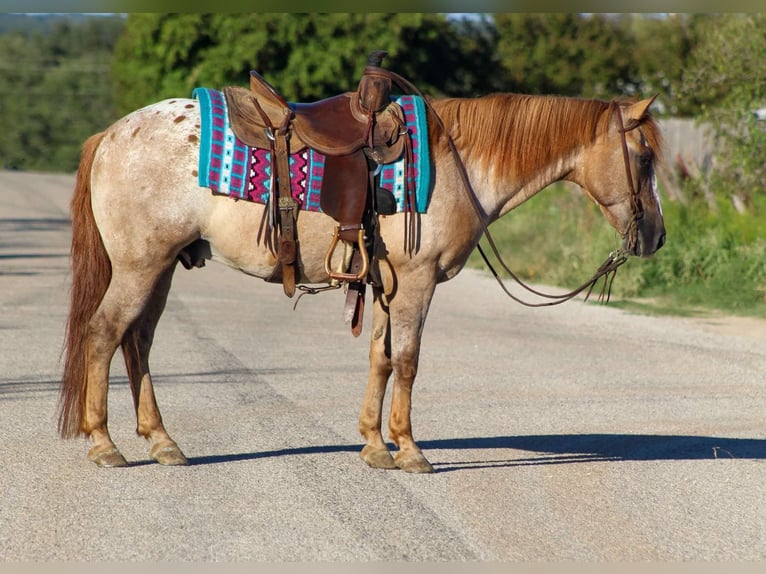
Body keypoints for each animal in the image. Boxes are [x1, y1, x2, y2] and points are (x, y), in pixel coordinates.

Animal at [58, 90, 665, 473]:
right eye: (644, 158)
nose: (656, 236)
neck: (455, 162)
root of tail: (112, 134)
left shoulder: (386, 286)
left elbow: (380, 356)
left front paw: (375, 445)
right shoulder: (417, 283)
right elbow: (409, 361)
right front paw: (410, 450)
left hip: (159, 268)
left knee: (138, 342)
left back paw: (162, 441)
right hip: (140, 267)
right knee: (104, 334)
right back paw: (105, 443)